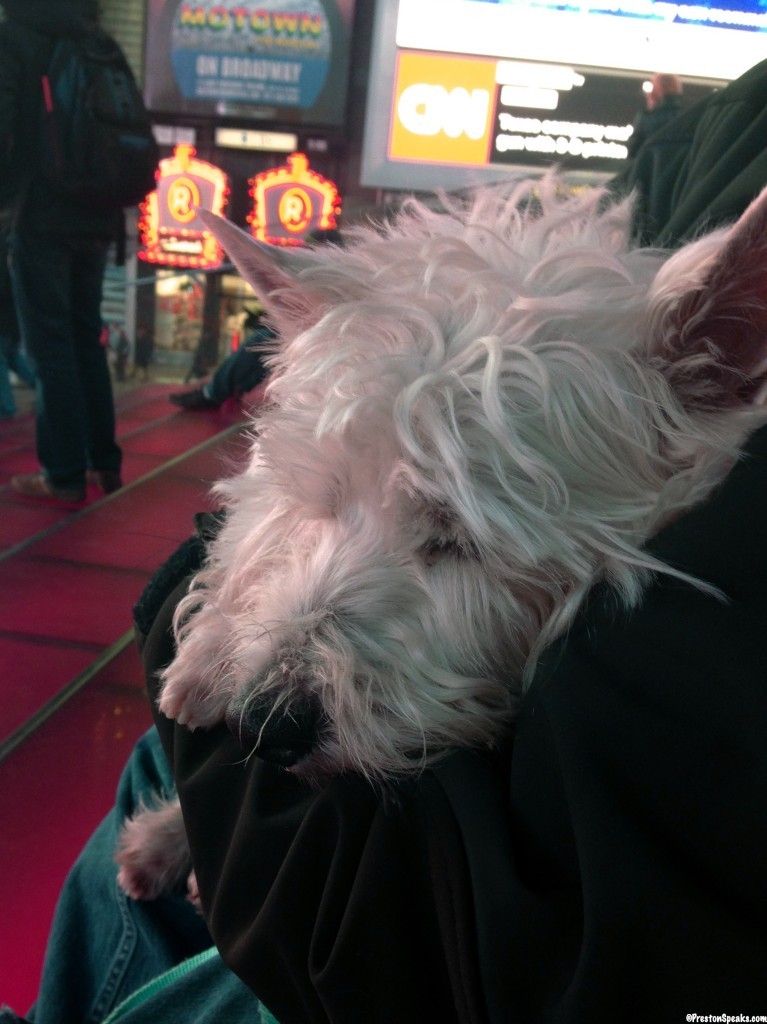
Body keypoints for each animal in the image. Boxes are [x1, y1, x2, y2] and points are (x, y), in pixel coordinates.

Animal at [116, 180, 765, 901]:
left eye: (466, 541)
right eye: (325, 501)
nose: (265, 724)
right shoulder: (270, 488)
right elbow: (247, 528)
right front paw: (204, 661)